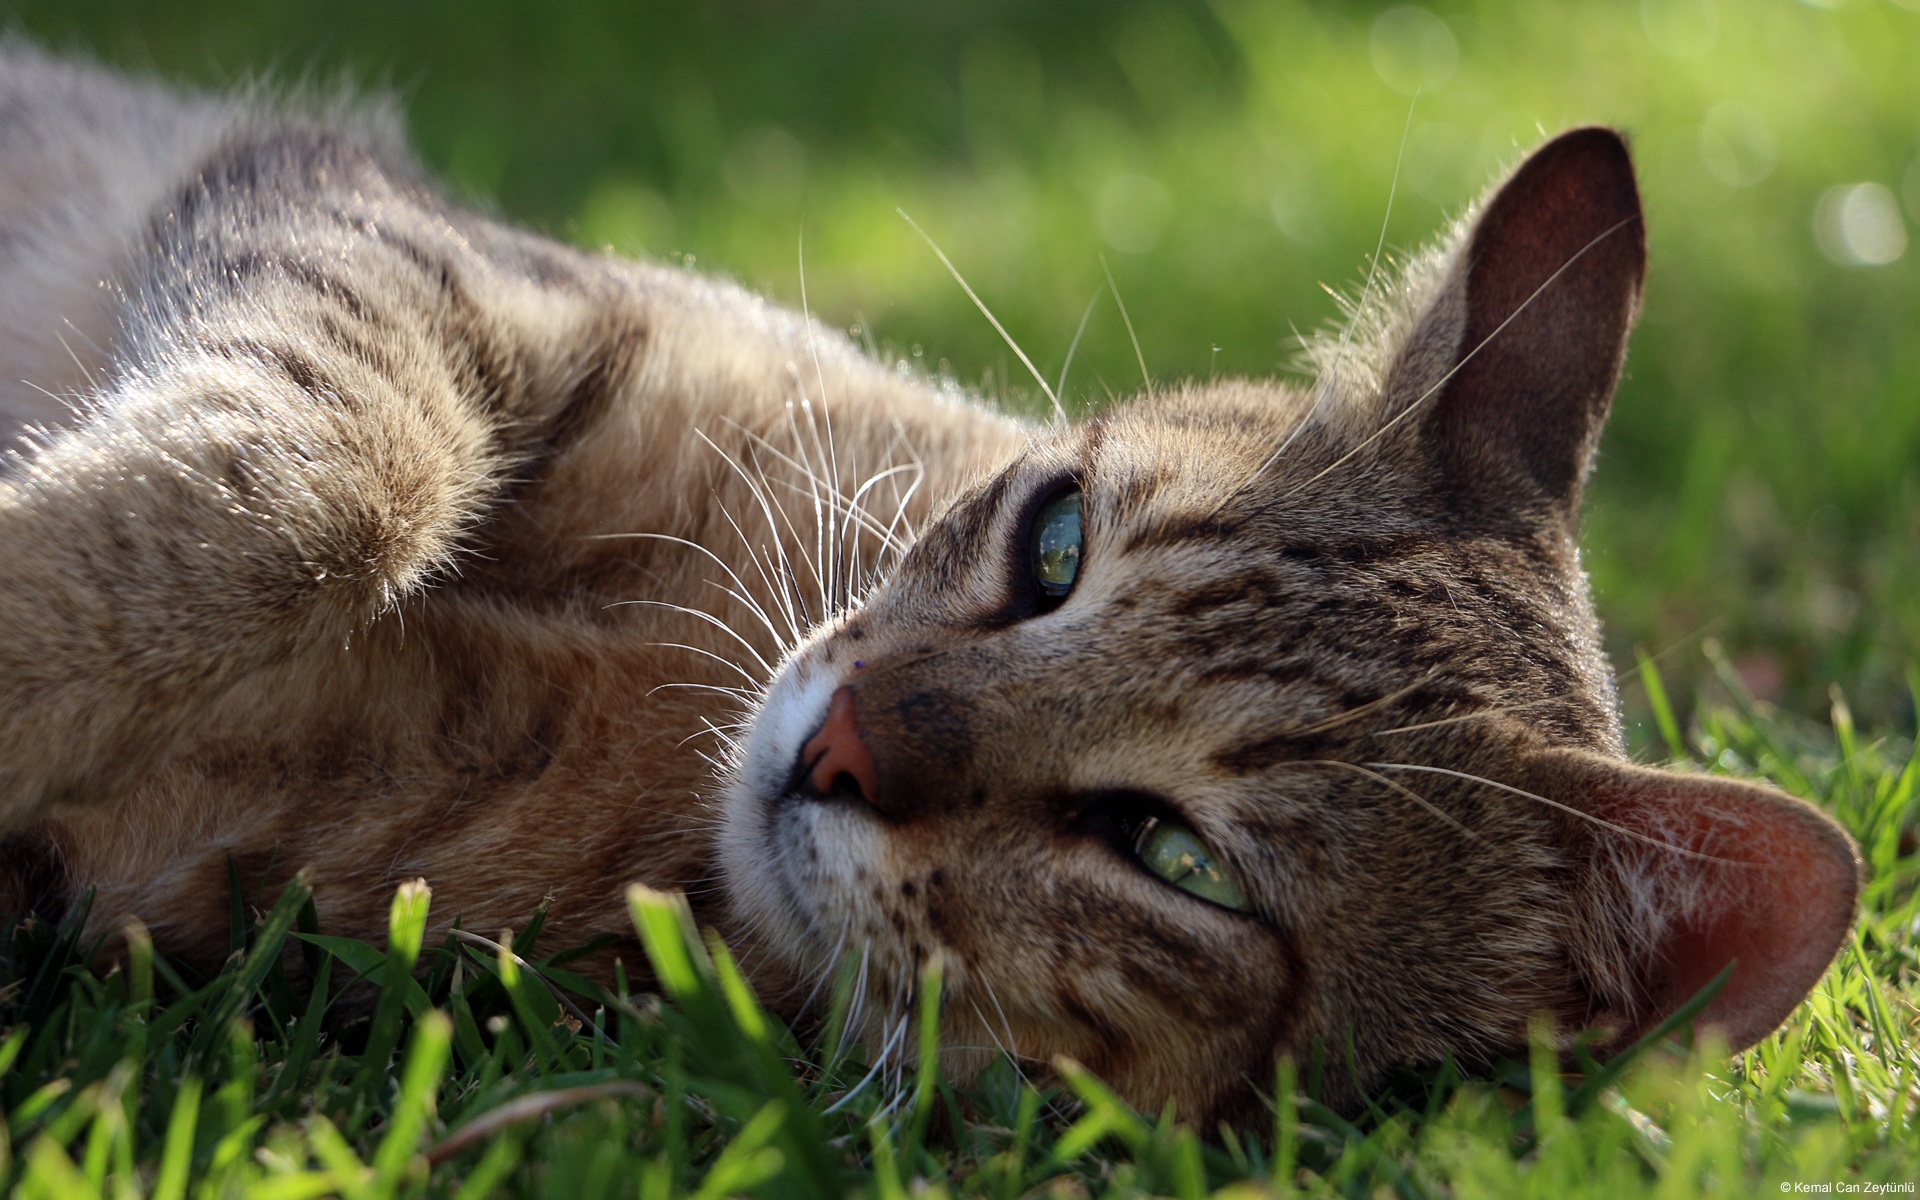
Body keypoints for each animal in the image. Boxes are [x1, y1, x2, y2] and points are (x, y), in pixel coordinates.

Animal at [0, 42, 1858, 1121]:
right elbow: (318, 486)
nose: (839, 747)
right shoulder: (381, 236)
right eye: (1056, 545)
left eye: (1174, 856)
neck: (666, 694)